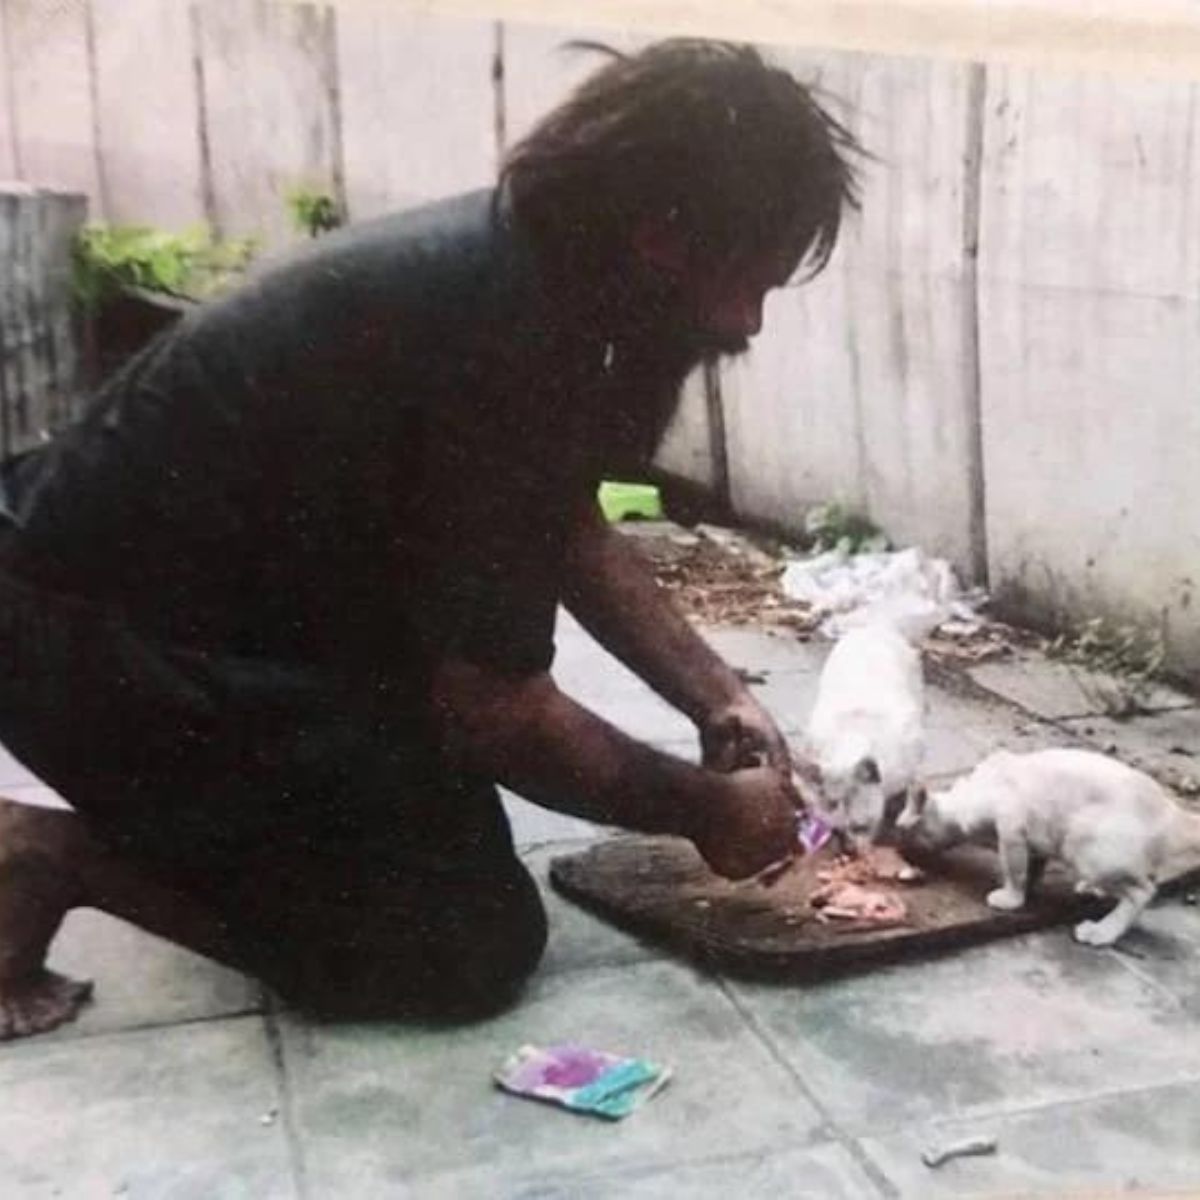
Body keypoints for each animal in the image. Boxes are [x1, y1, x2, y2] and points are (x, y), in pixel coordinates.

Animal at [806, 619, 926, 844]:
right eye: (836, 832)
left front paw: (906, 818)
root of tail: (876, 626)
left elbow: (916, 787)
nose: (850, 846)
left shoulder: (912, 764)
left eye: (860, 828)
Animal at [897, 748, 1200, 945]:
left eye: (901, 834)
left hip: (1084, 847)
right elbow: (1031, 870)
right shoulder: (1036, 840)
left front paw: (1010, 899)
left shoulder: (1012, 832)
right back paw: (1091, 889)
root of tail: (1171, 811)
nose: (901, 852)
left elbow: (1014, 872)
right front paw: (1029, 891)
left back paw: (1102, 933)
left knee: (1143, 892)